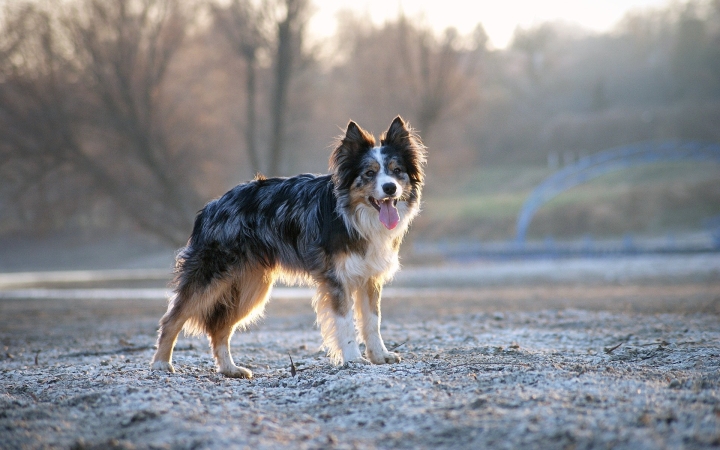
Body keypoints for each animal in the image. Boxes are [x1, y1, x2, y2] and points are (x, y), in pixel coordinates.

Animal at [149, 115, 424, 376]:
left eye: (396, 170)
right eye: (369, 173)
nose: (390, 188)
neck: (353, 216)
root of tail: (211, 207)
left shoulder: (370, 277)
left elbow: (372, 321)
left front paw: (379, 355)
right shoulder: (337, 279)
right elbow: (346, 321)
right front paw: (353, 359)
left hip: (251, 286)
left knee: (219, 328)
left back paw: (230, 369)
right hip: (211, 277)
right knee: (172, 318)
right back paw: (161, 363)